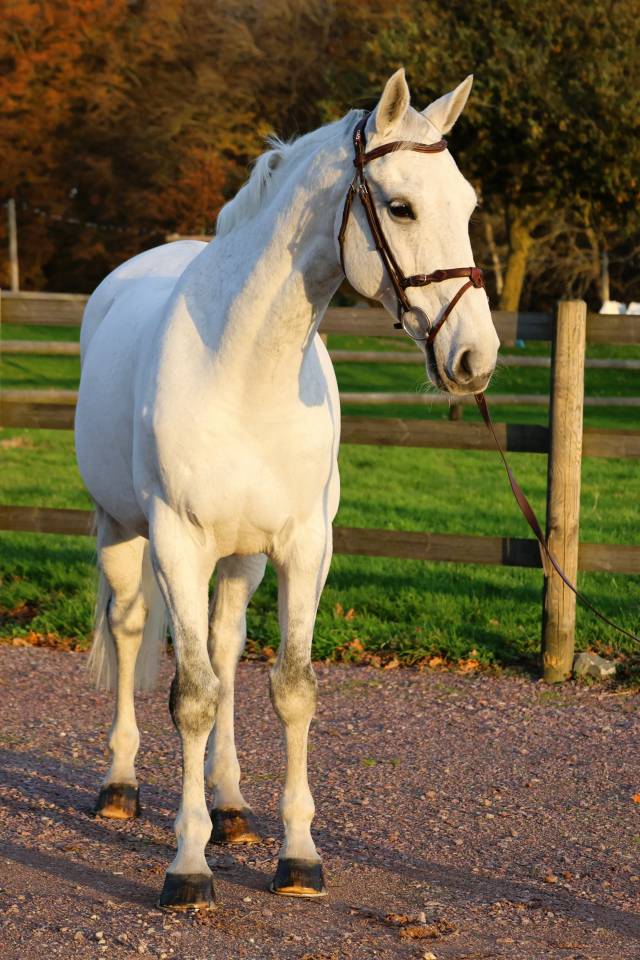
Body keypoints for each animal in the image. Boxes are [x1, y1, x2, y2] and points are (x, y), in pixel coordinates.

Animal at [74, 68, 499, 910]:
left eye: (466, 204)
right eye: (400, 206)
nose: (476, 357)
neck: (245, 368)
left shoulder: (305, 546)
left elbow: (289, 687)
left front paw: (297, 856)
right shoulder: (177, 542)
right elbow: (192, 698)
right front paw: (188, 867)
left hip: (242, 557)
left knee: (226, 647)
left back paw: (232, 805)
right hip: (121, 529)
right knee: (133, 632)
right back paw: (120, 785)